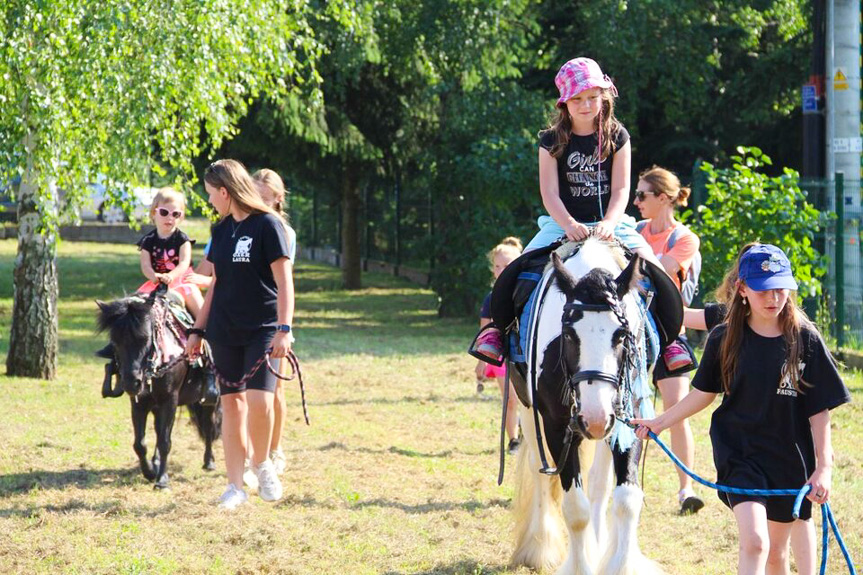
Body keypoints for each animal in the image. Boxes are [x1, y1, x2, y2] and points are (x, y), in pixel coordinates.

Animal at [96, 288, 221, 490]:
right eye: (114, 342)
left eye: (145, 338)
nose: (131, 383)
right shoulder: (139, 403)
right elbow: (140, 443)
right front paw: (149, 472)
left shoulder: (170, 400)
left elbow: (164, 441)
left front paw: (162, 480)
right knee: (157, 428)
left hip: (209, 400)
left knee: (209, 424)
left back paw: (209, 462)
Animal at [512, 240, 660, 575]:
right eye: (568, 335)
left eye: (622, 335)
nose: (593, 419)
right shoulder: (556, 427)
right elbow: (575, 509)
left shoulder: (630, 421)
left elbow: (626, 499)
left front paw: (620, 564)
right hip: (529, 414)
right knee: (540, 473)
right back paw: (539, 548)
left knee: (600, 484)